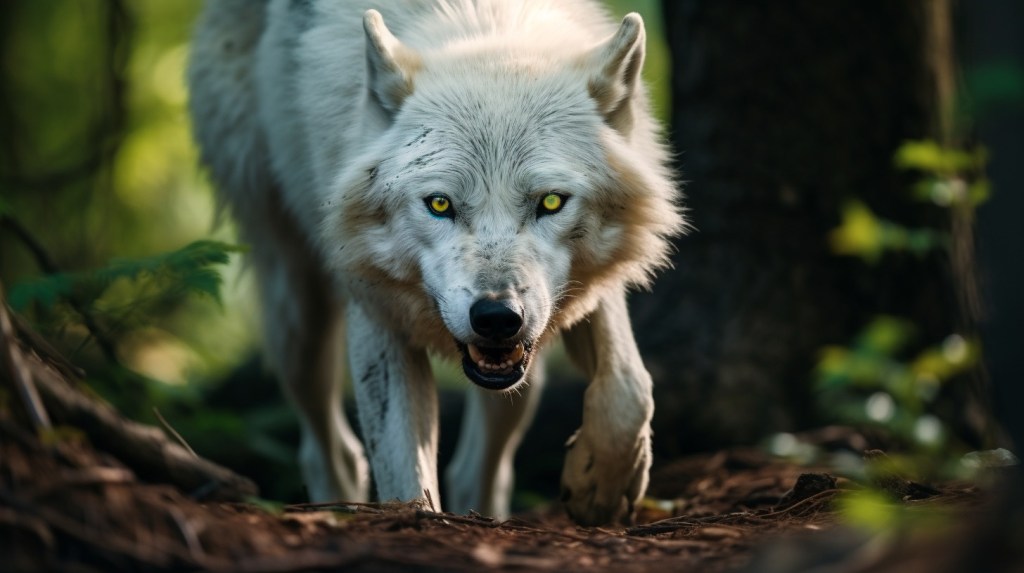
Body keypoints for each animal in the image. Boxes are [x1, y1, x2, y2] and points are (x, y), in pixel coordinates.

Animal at [188, 0, 684, 525]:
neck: (484, 21)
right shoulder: (376, 313)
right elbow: (405, 475)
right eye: (440, 204)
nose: (497, 317)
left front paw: (601, 487)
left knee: (477, 463)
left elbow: (631, 386)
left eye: (551, 202)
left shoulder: (588, 291)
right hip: (297, 314)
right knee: (331, 450)